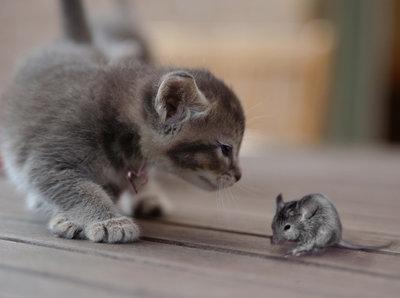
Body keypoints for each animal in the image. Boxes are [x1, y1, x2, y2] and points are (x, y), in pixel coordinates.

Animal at [0, 0, 244, 242]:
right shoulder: (49, 162)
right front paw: (108, 221)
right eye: (225, 149)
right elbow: (81, 189)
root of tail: (73, 44)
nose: (238, 176)